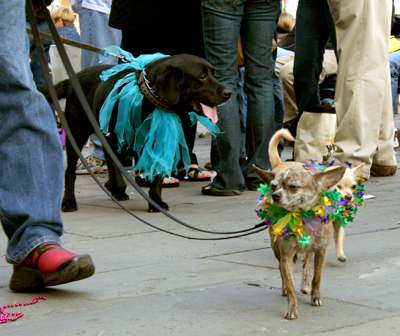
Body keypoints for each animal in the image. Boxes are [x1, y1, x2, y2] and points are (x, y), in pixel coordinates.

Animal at [47, 55, 231, 213]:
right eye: (202, 77)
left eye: (214, 74)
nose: (228, 92)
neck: (147, 98)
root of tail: (72, 79)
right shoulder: (110, 141)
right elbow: (118, 176)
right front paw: (118, 188)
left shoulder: (160, 140)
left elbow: (156, 178)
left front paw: (156, 201)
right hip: (76, 134)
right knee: (70, 171)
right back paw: (69, 201)